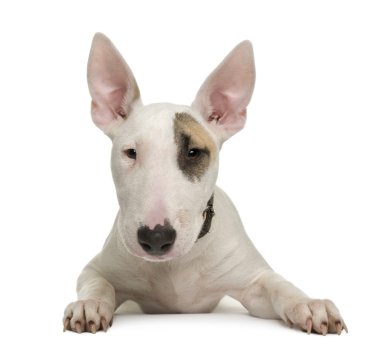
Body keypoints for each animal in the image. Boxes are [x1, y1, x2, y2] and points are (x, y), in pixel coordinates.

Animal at [63, 32, 348, 336]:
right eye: (130, 153)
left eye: (193, 152)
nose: (156, 238)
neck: (177, 265)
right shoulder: (97, 268)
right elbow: (98, 282)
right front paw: (89, 305)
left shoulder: (254, 280)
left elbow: (278, 285)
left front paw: (309, 304)